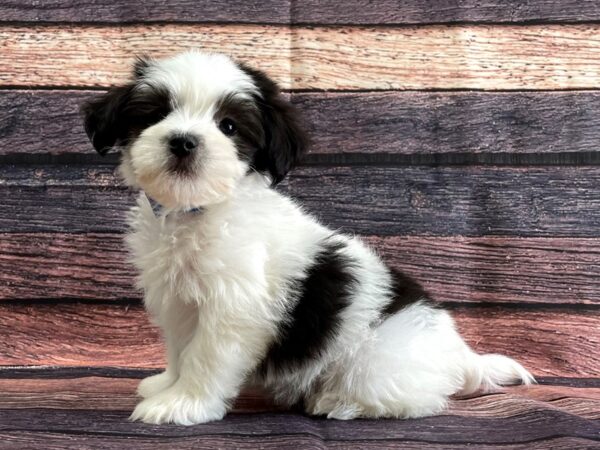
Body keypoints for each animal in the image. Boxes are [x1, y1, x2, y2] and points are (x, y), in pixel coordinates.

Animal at [81, 51, 536, 424]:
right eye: (155, 115)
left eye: (228, 126)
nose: (183, 141)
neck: (198, 211)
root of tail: (459, 353)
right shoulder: (177, 301)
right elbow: (180, 349)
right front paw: (166, 385)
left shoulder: (235, 307)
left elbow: (206, 356)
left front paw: (183, 404)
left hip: (378, 359)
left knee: (416, 400)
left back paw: (340, 402)